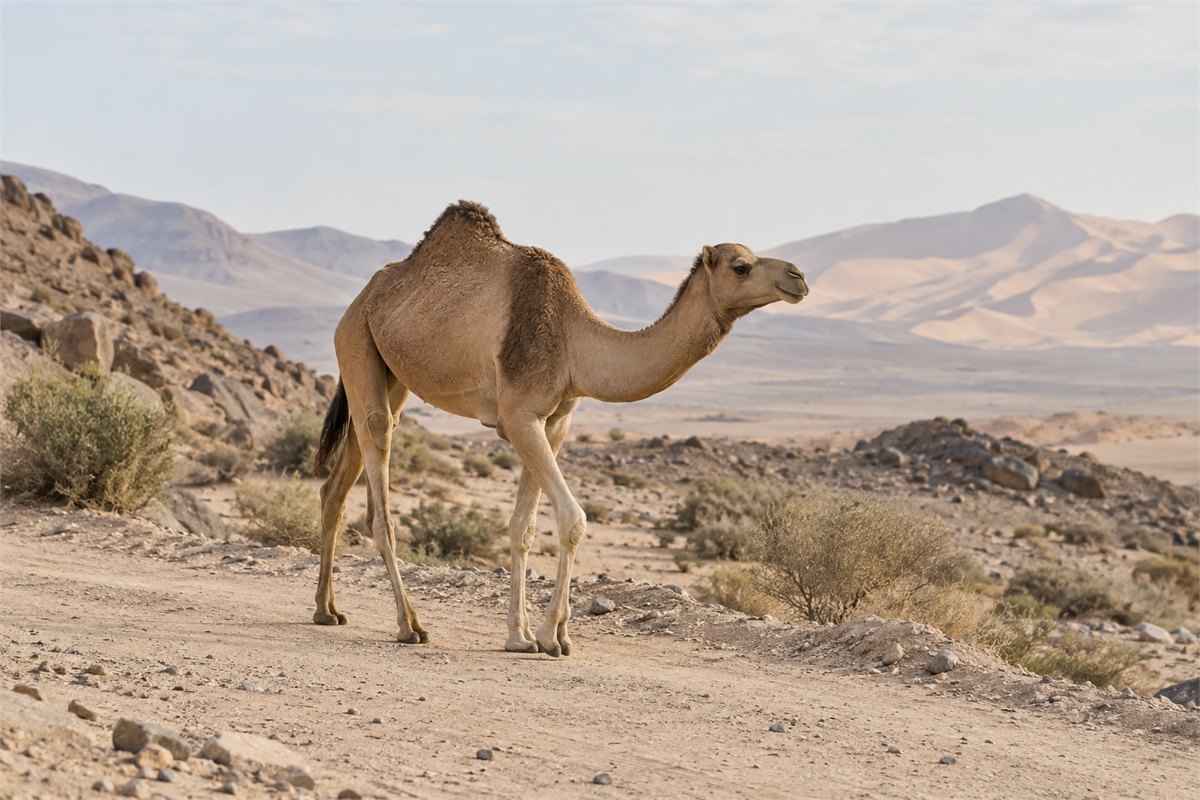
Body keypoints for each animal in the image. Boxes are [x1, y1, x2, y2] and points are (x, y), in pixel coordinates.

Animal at [312, 201, 808, 657]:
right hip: (355, 342)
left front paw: (521, 635)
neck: (575, 345)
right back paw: (409, 625)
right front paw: (552, 635)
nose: (798, 276)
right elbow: (573, 519)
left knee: (338, 483)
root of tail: (362, 298)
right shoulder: (518, 415)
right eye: (741, 266)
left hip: (388, 369)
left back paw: (326, 610)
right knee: (380, 490)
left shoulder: (555, 422)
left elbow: (523, 527)